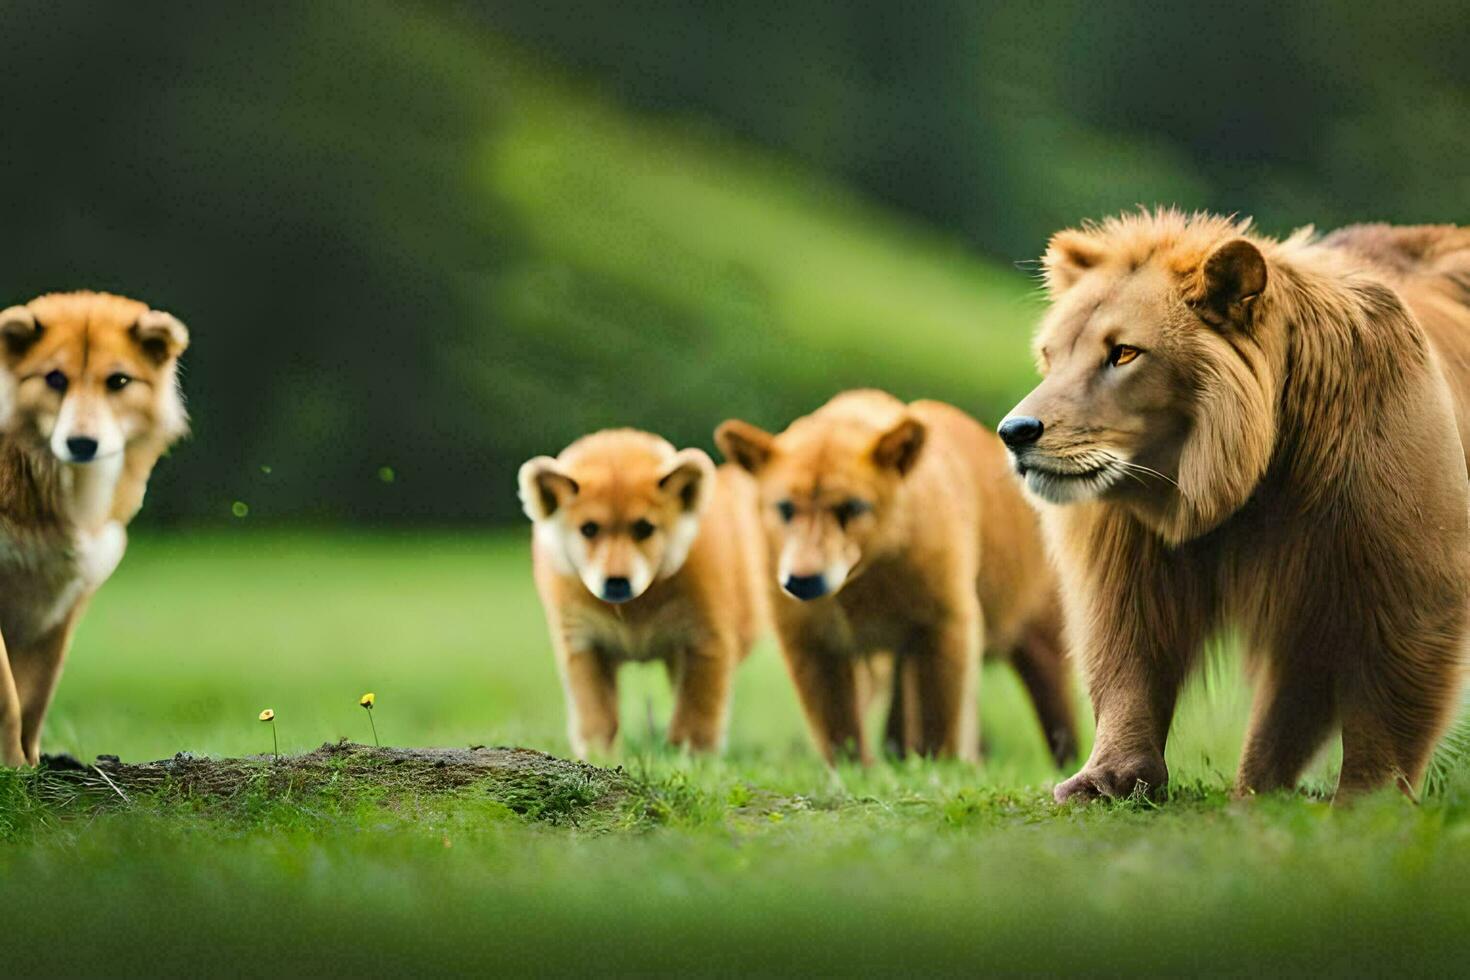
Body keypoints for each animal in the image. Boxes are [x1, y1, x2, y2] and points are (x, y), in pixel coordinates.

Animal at [999, 213, 1470, 805]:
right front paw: (1105, 781)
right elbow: (1129, 653)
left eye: (1124, 352)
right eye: (1051, 354)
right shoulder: (1129, 546)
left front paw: (1366, 800)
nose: (1015, 431)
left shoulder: (1403, 559)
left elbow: (1390, 683)